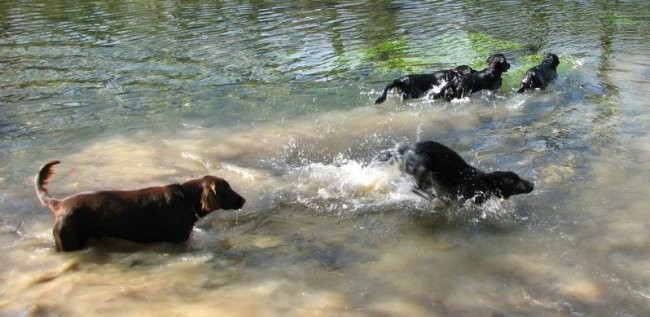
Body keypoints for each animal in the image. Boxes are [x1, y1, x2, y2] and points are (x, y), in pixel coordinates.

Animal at [34, 160, 246, 252]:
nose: (243, 200)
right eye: (227, 189)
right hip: (68, 243)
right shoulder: (178, 238)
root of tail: (58, 204)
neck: (186, 198)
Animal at [380, 140, 532, 204]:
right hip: (423, 162)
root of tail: (405, 149)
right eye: (514, 181)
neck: (482, 183)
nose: (532, 185)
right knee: (415, 187)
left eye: (518, 177)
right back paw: (433, 198)